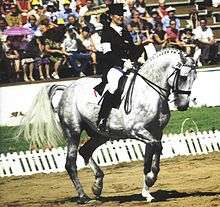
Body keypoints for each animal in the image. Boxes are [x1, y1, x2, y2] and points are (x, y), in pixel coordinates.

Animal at [18, 48, 198, 204]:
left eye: (195, 78)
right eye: (183, 77)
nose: (183, 105)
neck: (150, 91)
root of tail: (68, 88)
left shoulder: (155, 132)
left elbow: (153, 154)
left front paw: (147, 191)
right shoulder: (137, 130)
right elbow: (155, 148)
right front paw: (150, 180)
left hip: (100, 135)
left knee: (85, 151)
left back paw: (97, 186)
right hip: (73, 131)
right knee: (70, 163)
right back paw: (83, 197)